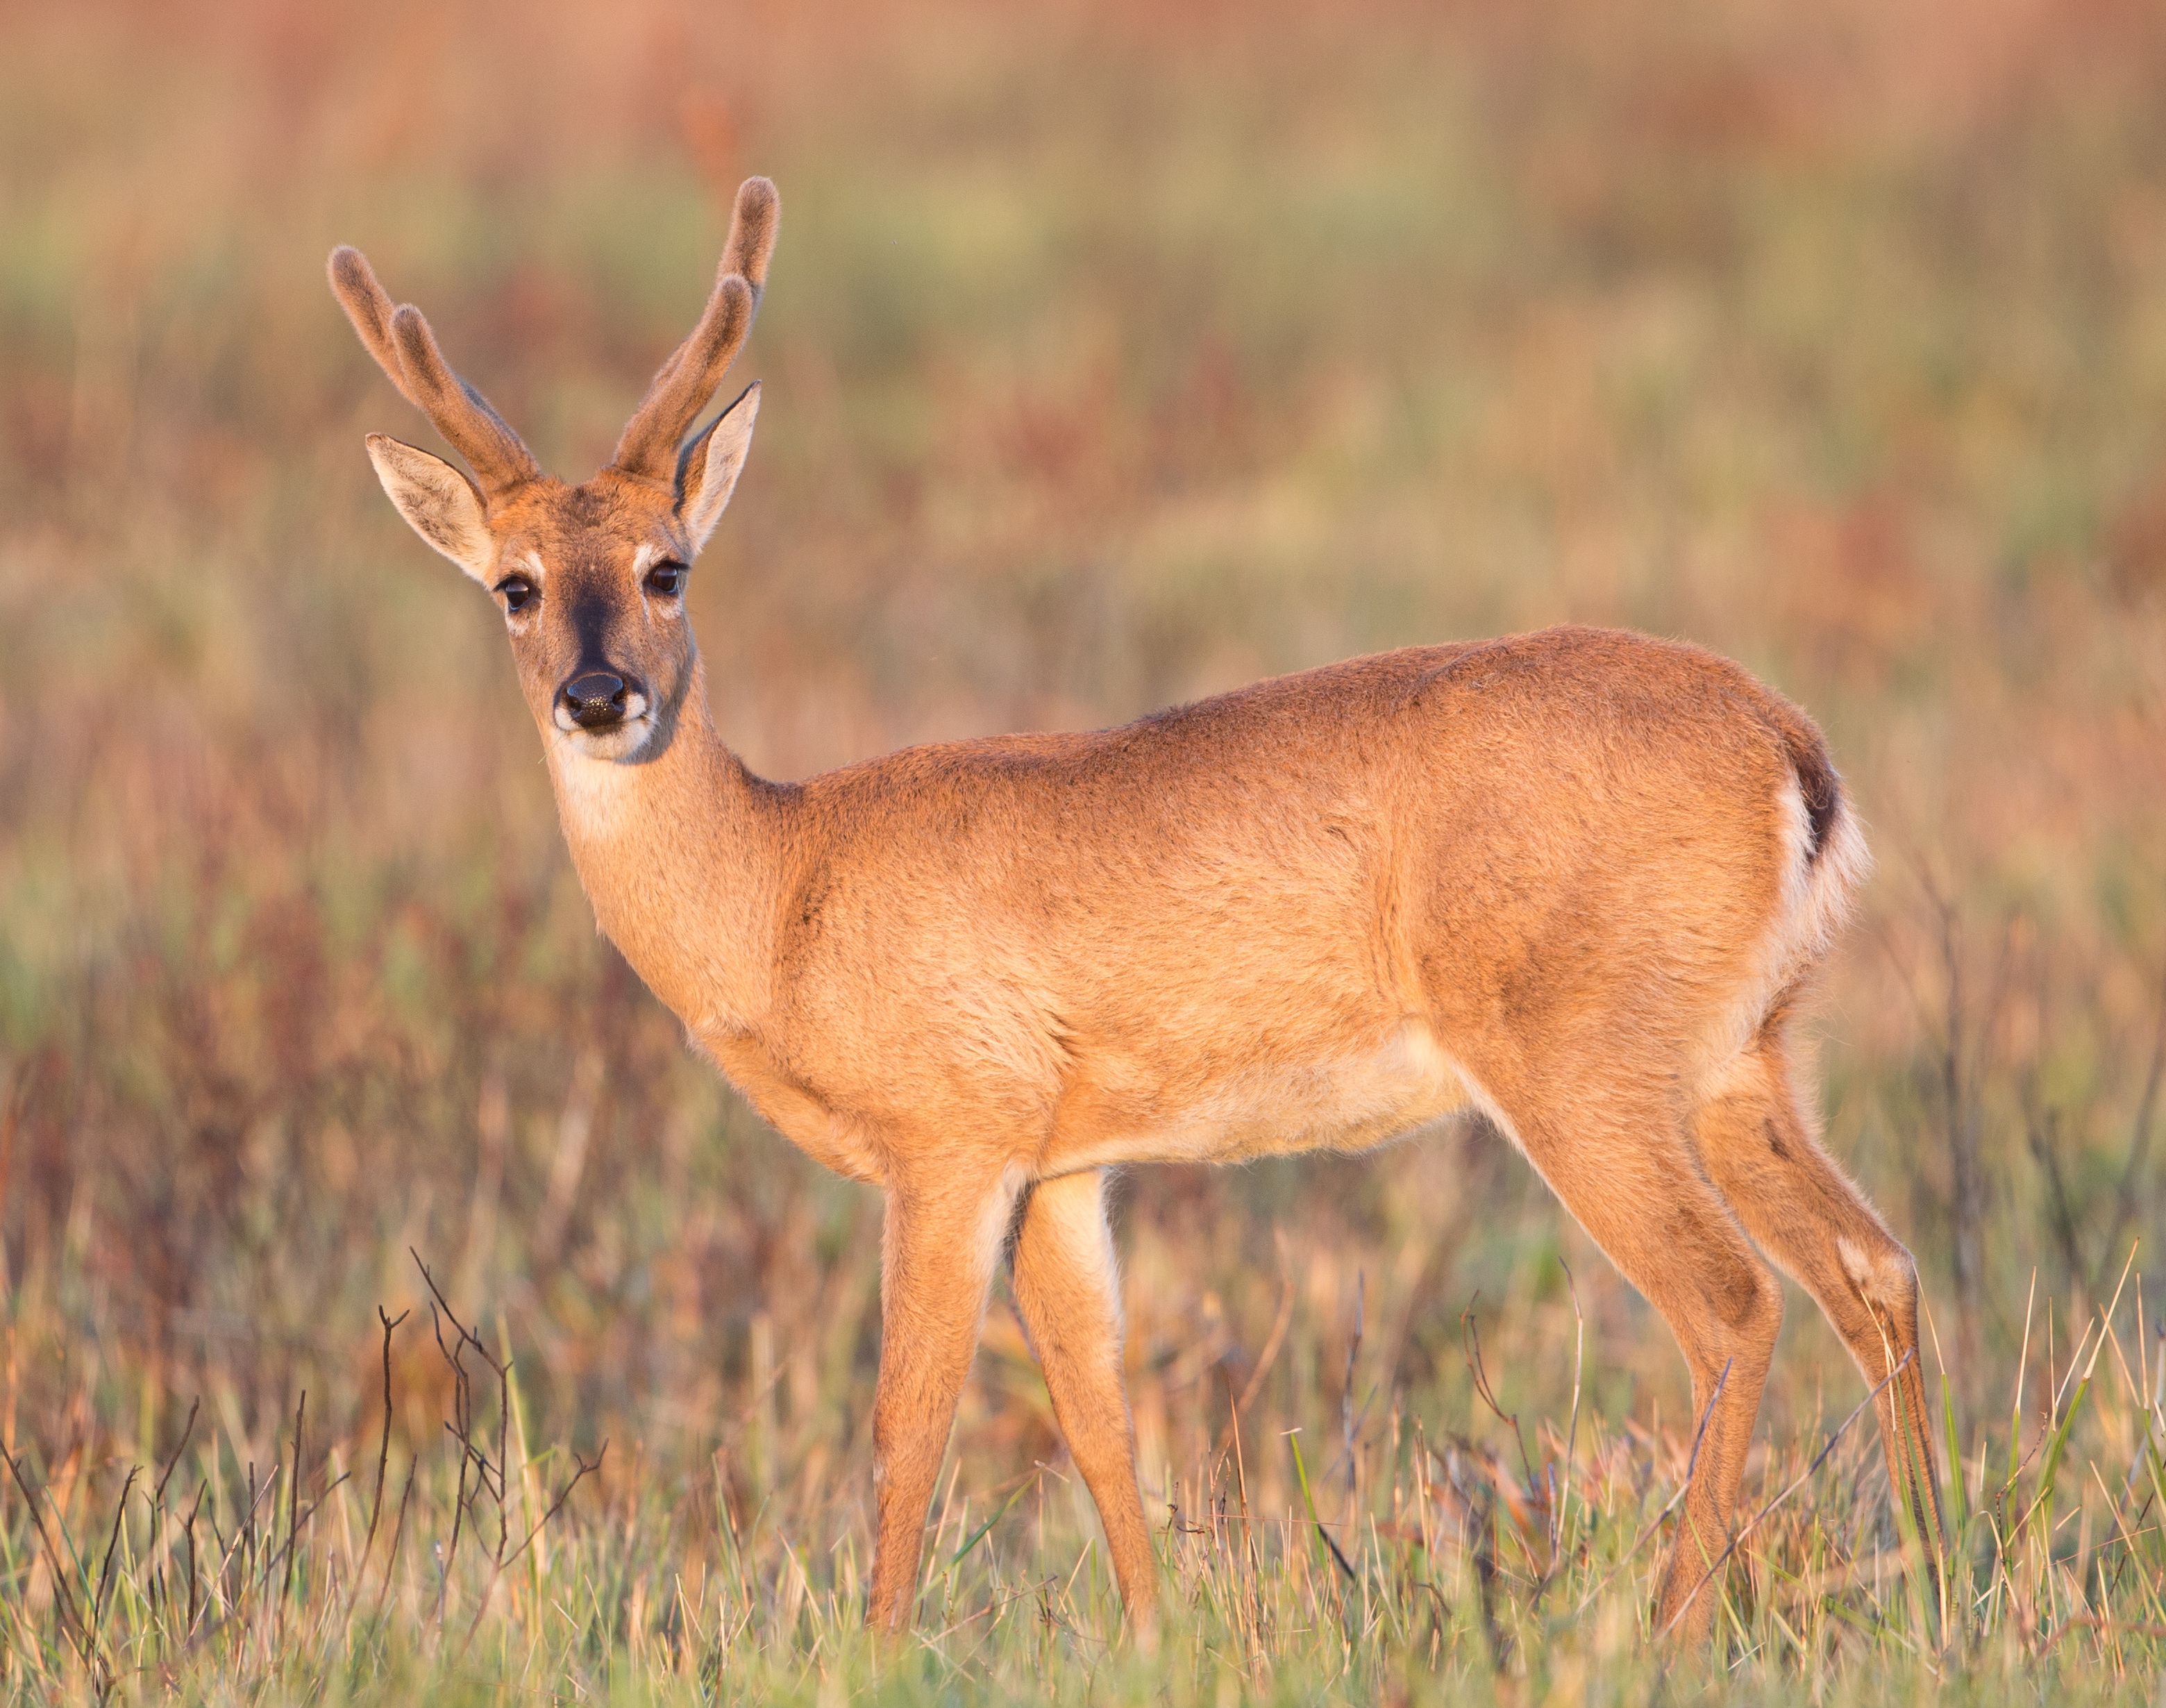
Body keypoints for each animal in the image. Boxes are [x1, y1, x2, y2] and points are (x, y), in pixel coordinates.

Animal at [324, 173, 1949, 1639]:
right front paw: (1160, 1636)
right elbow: (1095, 1415)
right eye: (516, 586)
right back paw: (1941, 1576)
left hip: (1577, 1051)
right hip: (1744, 1053)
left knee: (1732, 1302)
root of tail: (1793, 752)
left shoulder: (956, 1131)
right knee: (1874, 1265)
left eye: (669, 568)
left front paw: (872, 1652)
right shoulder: (1066, 1162)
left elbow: (905, 1427)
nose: (604, 697)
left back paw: (1672, 1624)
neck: (783, 894)